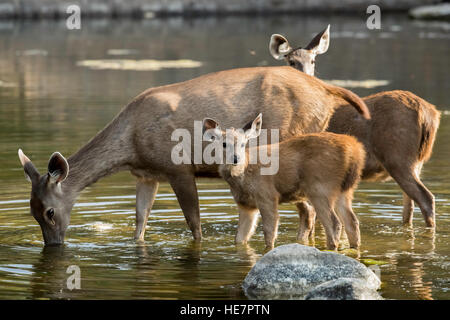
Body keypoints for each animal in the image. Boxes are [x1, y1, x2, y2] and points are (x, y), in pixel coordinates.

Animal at [202, 113, 368, 250]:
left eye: (244, 143)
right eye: (224, 144)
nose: (236, 158)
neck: (243, 178)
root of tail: (355, 151)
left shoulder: (267, 195)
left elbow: (269, 232)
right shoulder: (245, 205)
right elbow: (239, 238)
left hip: (320, 187)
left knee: (335, 223)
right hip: (345, 190)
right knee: (352, 222)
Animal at [268, 25, 442, 232]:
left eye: (313, 60)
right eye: (291, 62)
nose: (306, 78)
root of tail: (429, 113)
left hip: (398, 156)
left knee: (426, 198)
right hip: (416, 161)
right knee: (409, 205)